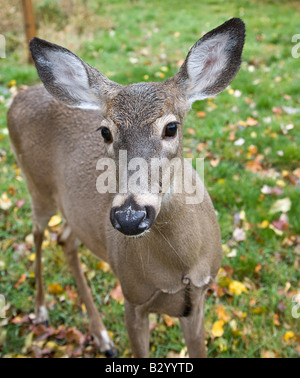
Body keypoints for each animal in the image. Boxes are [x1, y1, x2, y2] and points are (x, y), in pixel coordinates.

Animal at [7, 18, 246, 358]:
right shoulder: (133, 299)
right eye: (105, 132)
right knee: (38, 233)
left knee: (65, 239)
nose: (130, 216)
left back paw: (102, 337)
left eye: (171, 127)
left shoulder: (198, 299)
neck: (179, 268)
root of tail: (17, 96)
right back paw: (41, 311)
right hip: (35, 184)